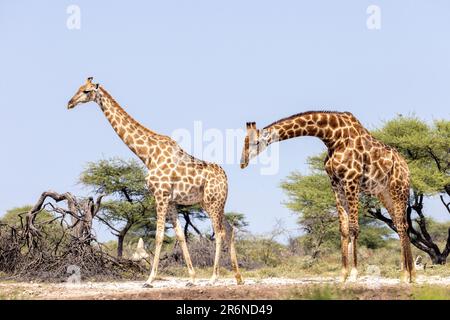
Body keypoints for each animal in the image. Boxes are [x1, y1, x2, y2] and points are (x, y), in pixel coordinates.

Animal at [67, 78, 243, 288]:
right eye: (78, 88)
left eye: (86, 91)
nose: (69, 103)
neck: (147, 155)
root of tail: (226, 178)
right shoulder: (172, 201)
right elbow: (180, 236)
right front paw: (192, 278)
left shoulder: (160, 195)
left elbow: (159, 236)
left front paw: (150, 279)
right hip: (213, 203)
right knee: (230, 229)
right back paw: (238, 277)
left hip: (212, 202)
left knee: (220, 232)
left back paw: (214, 277)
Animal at [241, 110, 416, 282]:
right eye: (244, 141)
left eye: (255, 142)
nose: (242, 162)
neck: (332, 137)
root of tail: (406, 167)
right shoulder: (335, 183)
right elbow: (343, 228)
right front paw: (343, 274)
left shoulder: (352, 180)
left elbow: (353, 228)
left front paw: (353, 274)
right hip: (383, 193)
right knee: (401, 224)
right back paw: (411, 274)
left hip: (398, 189)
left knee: (402, 226)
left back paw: (405, 275)